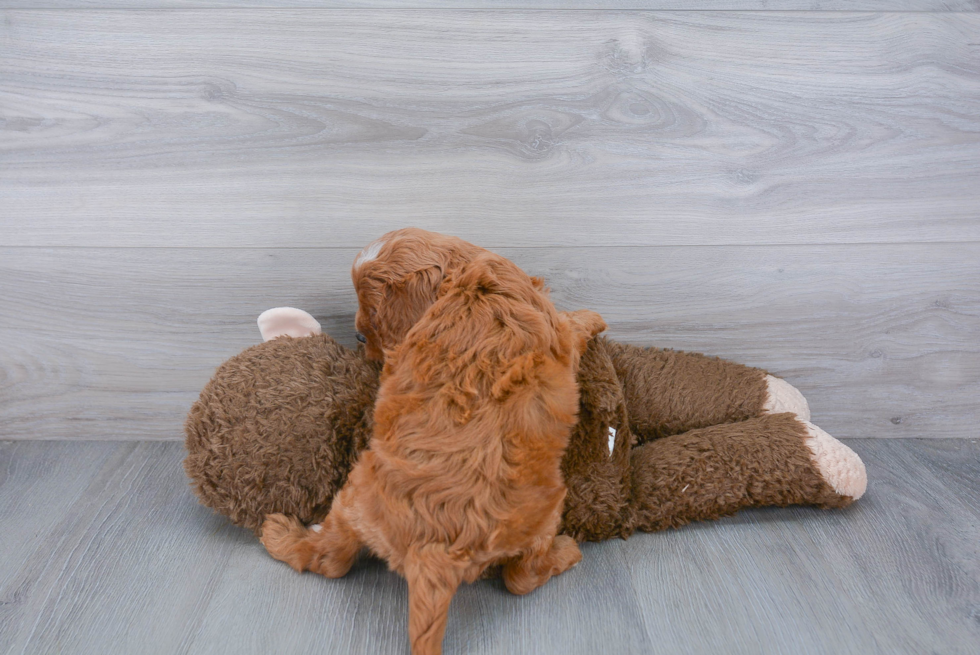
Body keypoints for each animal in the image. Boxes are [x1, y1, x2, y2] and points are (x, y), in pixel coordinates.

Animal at [260, 228, 604, 652]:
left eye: (371, 310)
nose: (357, 335)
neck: (462, 280)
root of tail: (434, 548)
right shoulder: (555, 325)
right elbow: (574, 326)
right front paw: (594, 318)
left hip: (355, 498)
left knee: (332, 560)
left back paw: (280, 534)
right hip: (546, 515)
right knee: (521, 577)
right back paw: (566, 552)